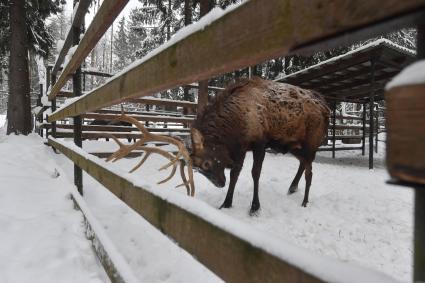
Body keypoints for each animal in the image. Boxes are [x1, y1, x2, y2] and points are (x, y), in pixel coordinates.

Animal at [190, 77, 330, 215]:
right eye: (197, 169)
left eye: (206, 164)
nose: (220, 183)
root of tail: (326, 108)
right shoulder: (241, 148)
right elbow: (235, 173)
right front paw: (226, 203)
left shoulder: (259, 143)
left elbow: (255, 173)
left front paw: (255, 207)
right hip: (295, 146)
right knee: (302, 163)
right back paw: (292, 187)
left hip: (311, 144)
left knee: (309, 173)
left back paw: (305, 201)